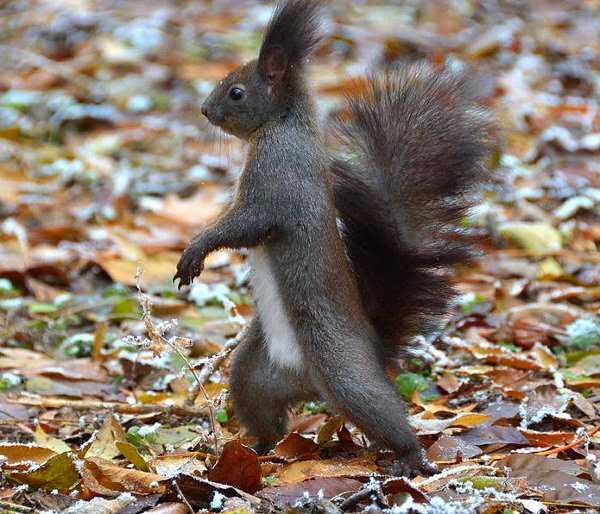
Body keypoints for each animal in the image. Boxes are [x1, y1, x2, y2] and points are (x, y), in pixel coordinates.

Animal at [175, 0, 496, 476]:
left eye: (236, 92)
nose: (203, 110)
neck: (283, 125)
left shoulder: (277, 179)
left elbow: (247, 224)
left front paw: (195, 251)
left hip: (343, 370)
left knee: (380, 411)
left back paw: (408, 457)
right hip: (253, 373)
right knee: (268, 419)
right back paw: (253, 452)